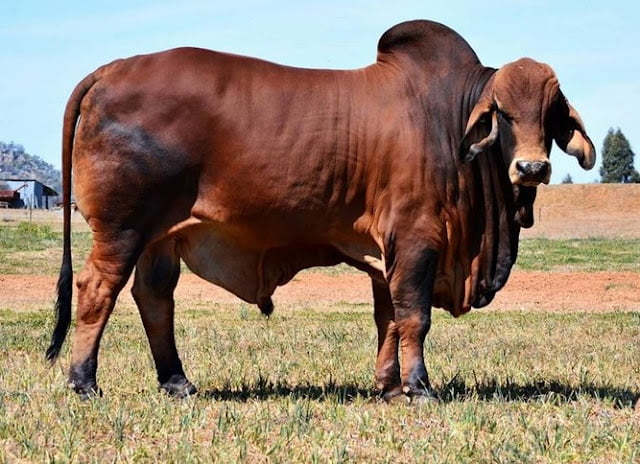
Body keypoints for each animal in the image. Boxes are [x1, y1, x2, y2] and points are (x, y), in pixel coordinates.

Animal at [46, 20, 595, 402]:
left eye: (550, 114)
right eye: (502, 113)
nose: (531, 167)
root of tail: (111, 69)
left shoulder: (386, 253)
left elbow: (388, 319)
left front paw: (388, 387)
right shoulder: (416, 240)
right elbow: (414, 316)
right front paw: (419, 387)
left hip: (161, 236)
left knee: (154, 297)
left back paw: (177, 382)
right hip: (122, 230)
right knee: (98, 291)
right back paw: (84, 382)